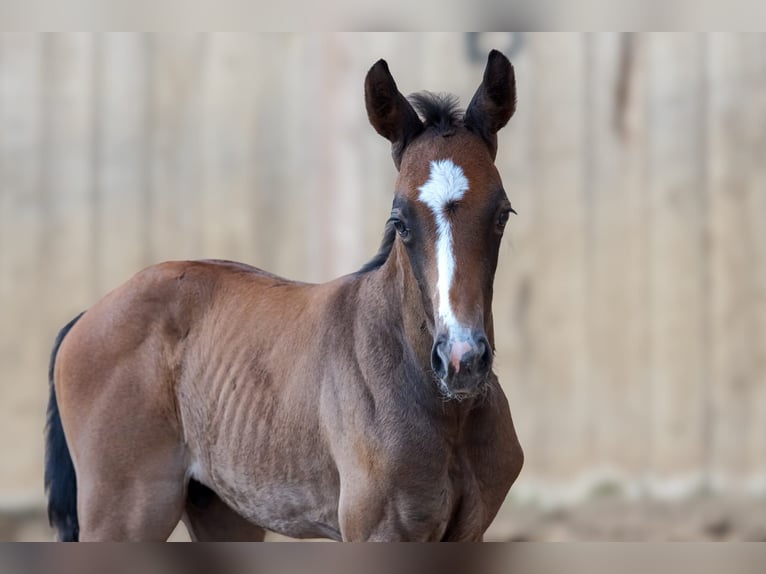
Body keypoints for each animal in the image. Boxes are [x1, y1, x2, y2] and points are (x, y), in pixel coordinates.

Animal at [44, 49, 524, 542]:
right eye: (400, 221)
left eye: (502, 213)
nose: (461, 359)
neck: (447, 411)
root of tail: (85, 318)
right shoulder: (377, 531)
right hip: (123, 515)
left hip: (220, 509)